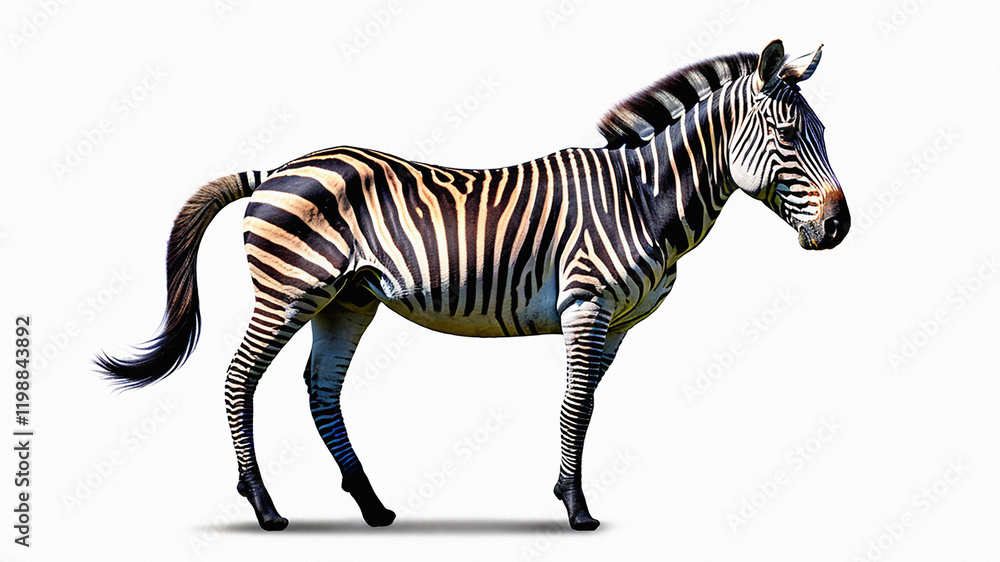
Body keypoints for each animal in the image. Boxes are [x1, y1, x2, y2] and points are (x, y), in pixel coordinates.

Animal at [97, 39, 849, 532]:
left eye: (823, 129)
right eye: (788, 134)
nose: (840, 226)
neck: (643, 199)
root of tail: (277, 168)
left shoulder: (616, 324)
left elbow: (588, 408)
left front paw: (567, 492)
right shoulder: (587, 304)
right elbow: (577, 407)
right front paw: (577, 510)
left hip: (348, 299)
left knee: (320, 388)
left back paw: (372, 506)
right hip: (291, 289)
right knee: (237, 379)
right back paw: (264, 506)